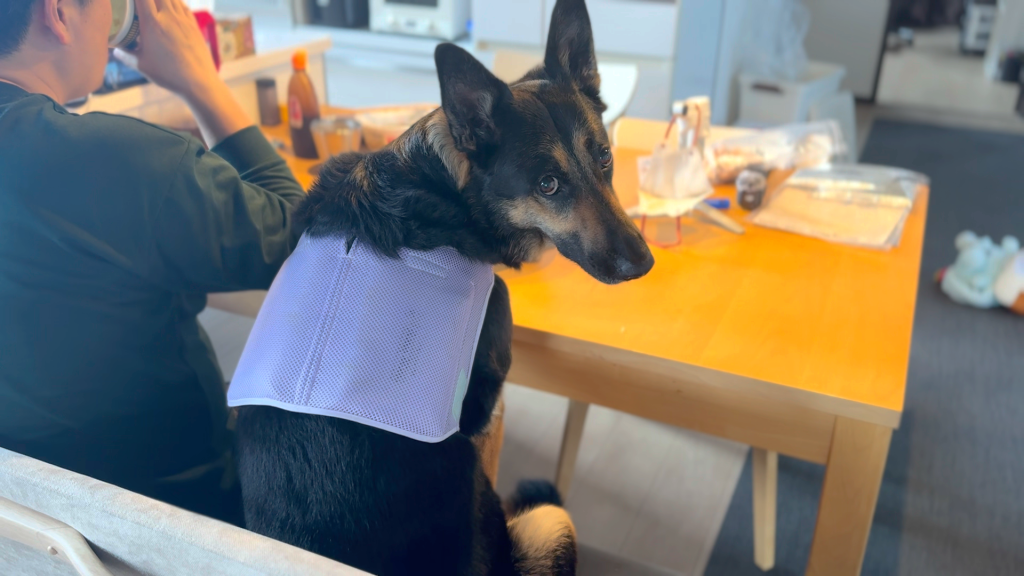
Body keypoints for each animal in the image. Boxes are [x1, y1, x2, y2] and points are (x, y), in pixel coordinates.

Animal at [232, 0, 654, 574]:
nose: (643, 263)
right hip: (550, 522)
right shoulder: (485, 404)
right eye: (548, 185)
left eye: (605, 158)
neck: (445, 190)